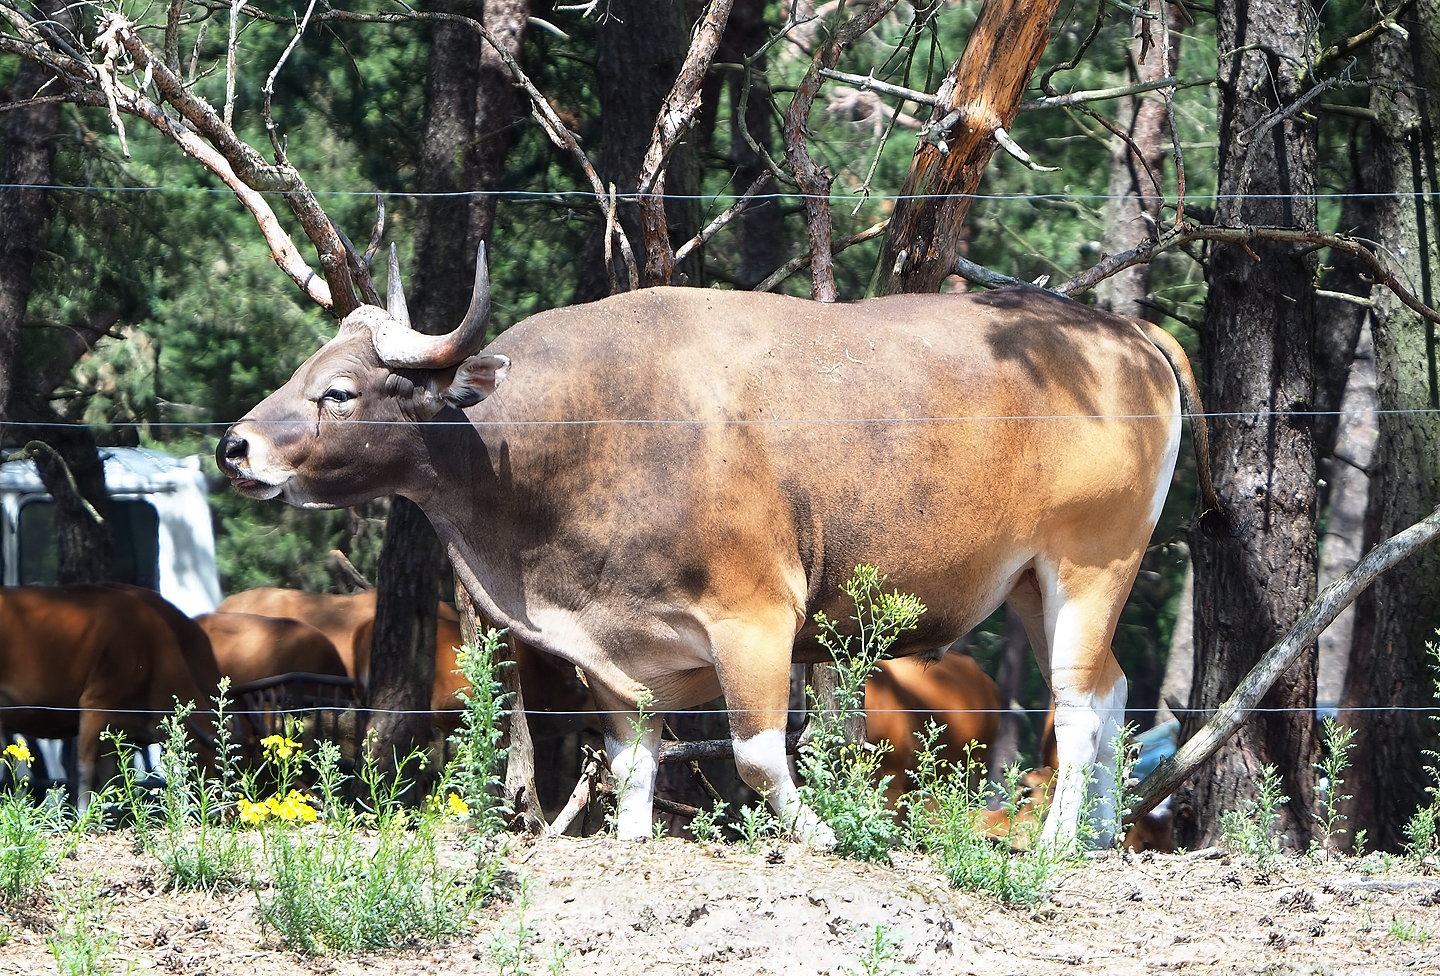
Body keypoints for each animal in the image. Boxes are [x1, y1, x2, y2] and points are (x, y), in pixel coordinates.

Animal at [0, 585, 216, 808]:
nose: (217, 809)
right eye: (211, 765)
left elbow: (109, 776)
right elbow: (86, 770)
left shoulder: (115, 727)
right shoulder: (95, 705)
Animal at [217, 245, 1219, 847]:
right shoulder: (610, 653)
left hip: (1091, 563)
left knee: (1077, 706)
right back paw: (1100, 837)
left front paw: (820, 834)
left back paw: (1055, 842)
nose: (236, 446)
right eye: (305, 370)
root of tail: (1124, 333)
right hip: (1029, 584)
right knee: (1112, 691)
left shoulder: (757, 619)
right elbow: (631, 764)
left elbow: (758, 753)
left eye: (340, 391)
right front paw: (633, 841)